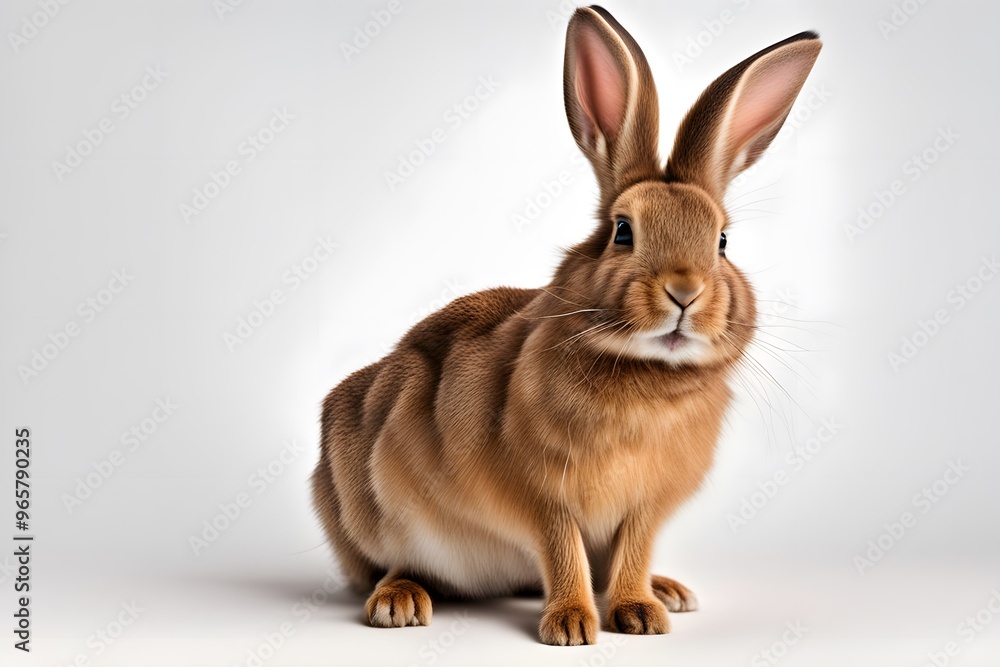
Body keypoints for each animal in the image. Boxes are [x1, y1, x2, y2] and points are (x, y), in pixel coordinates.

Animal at [312, 5, 821, 646]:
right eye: (623, 231)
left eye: (723, 241)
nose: (685, 292)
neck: (646, 375)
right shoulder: (542, 496)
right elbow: (562, 550)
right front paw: (573, 626)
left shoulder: (645, 507)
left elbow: (633, 550)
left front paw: (640, 613)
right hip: (376, 493)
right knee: (392, 563)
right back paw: (398, 602)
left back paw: (669, 592)